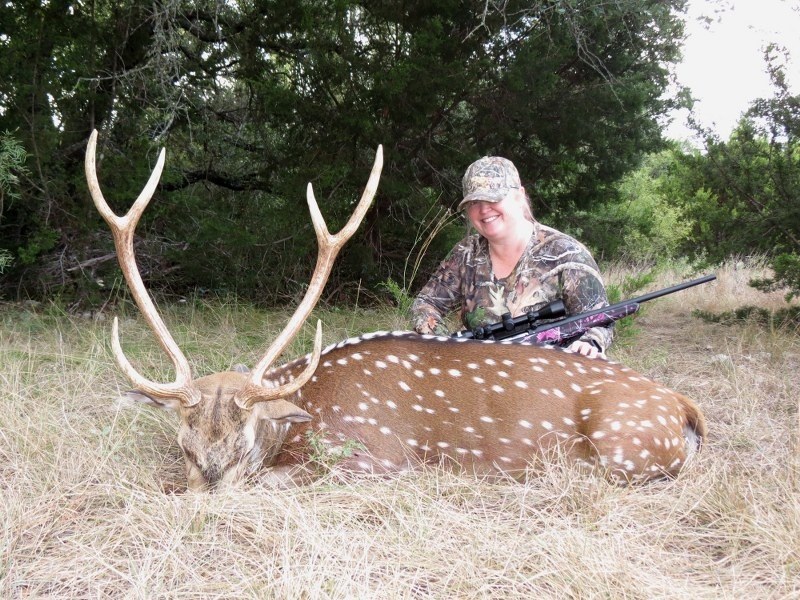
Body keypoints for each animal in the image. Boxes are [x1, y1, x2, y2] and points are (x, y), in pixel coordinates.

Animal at [86, 130, 707, 492]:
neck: (304, 413)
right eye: (185, 448)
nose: (208, 495)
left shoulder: (371, 458)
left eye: (244, 443)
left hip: (626, 444)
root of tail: (683, 404)